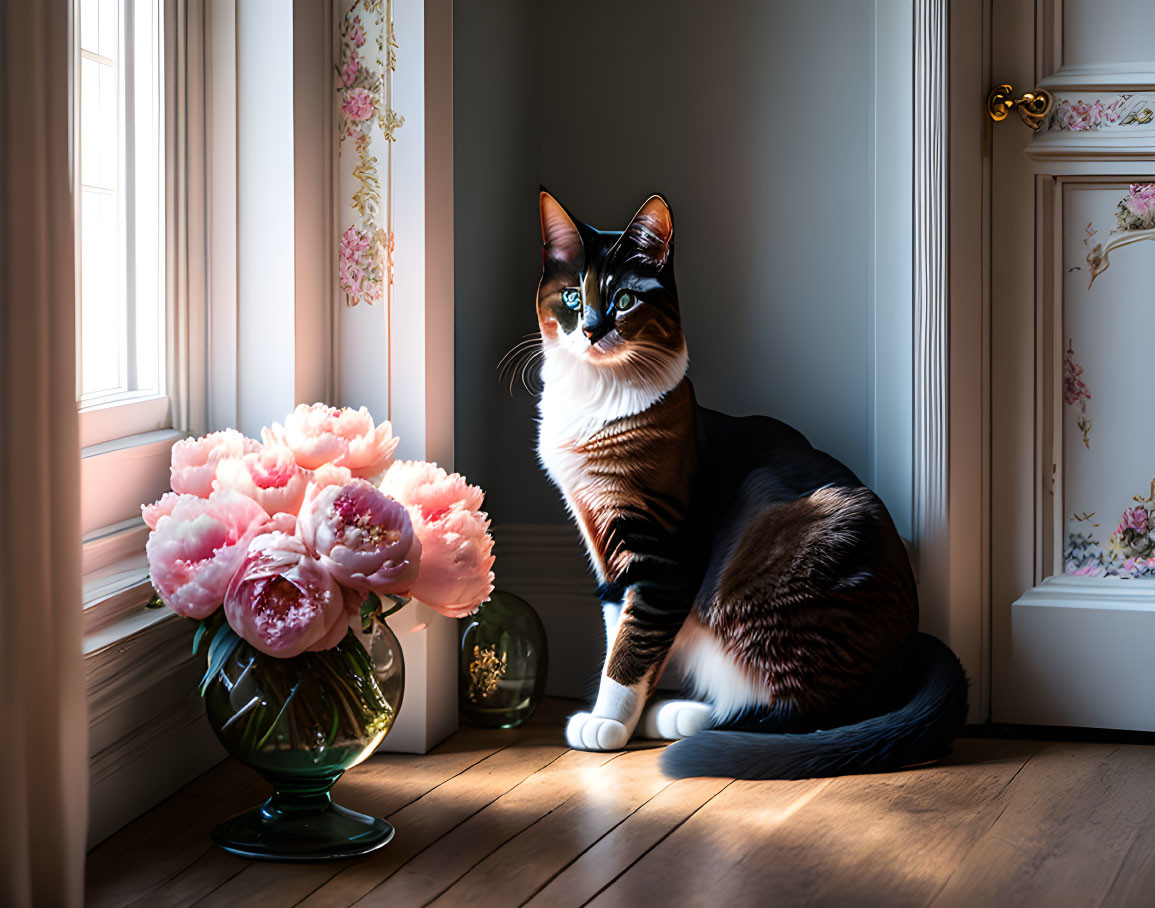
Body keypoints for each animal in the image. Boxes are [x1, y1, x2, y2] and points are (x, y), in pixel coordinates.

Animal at [531, 187, 965, 776]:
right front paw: (617, 712)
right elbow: (621, 628)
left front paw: (608, 723)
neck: (595, 404)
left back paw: (685, 718)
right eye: (573, 298)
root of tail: (908, 645)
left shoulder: (664, 554)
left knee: (802, 711)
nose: (594, 329)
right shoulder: (606, 549)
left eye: (623, 299)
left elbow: (634, 643)